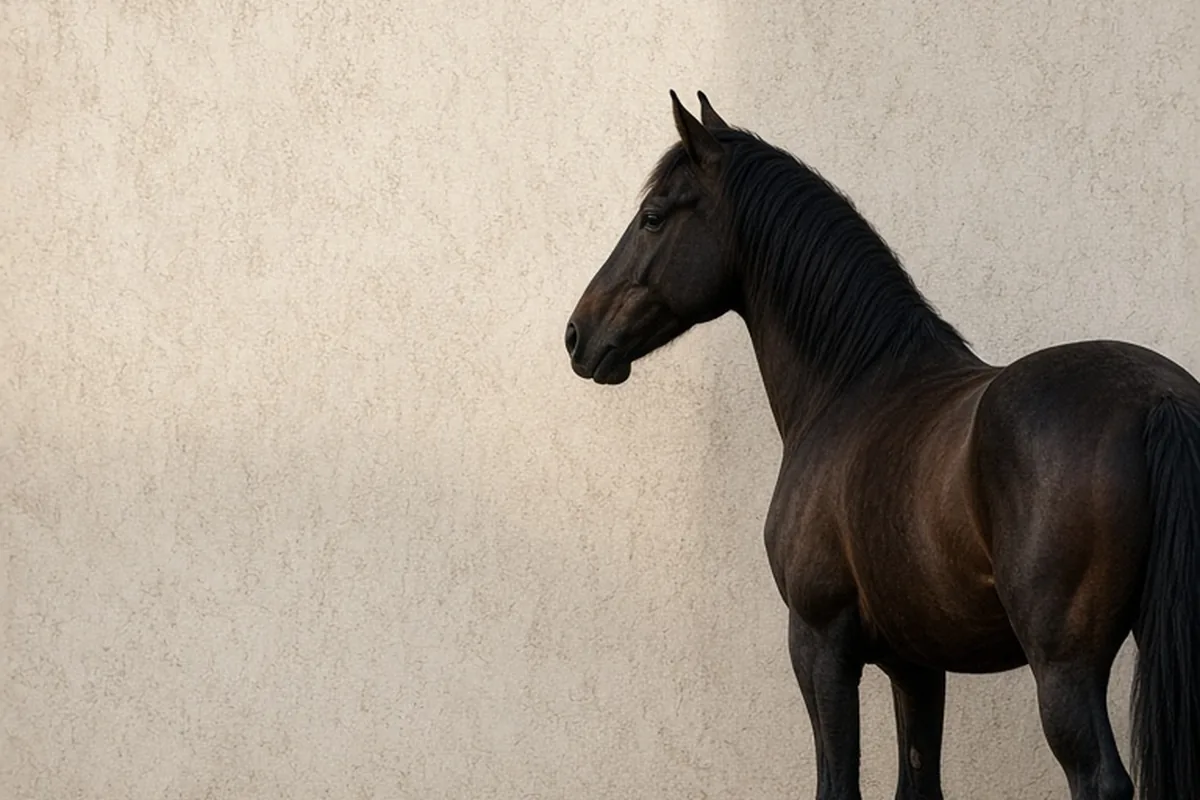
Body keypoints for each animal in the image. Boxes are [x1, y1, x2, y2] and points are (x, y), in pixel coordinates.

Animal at [562, 91, 1199, 800]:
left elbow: (838, 782)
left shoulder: (818, 643)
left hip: (1062, 664)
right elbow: (917, 783)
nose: (578, 335)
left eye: (652, 218)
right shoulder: (915, 664)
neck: (853, 385)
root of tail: (1155, 397)